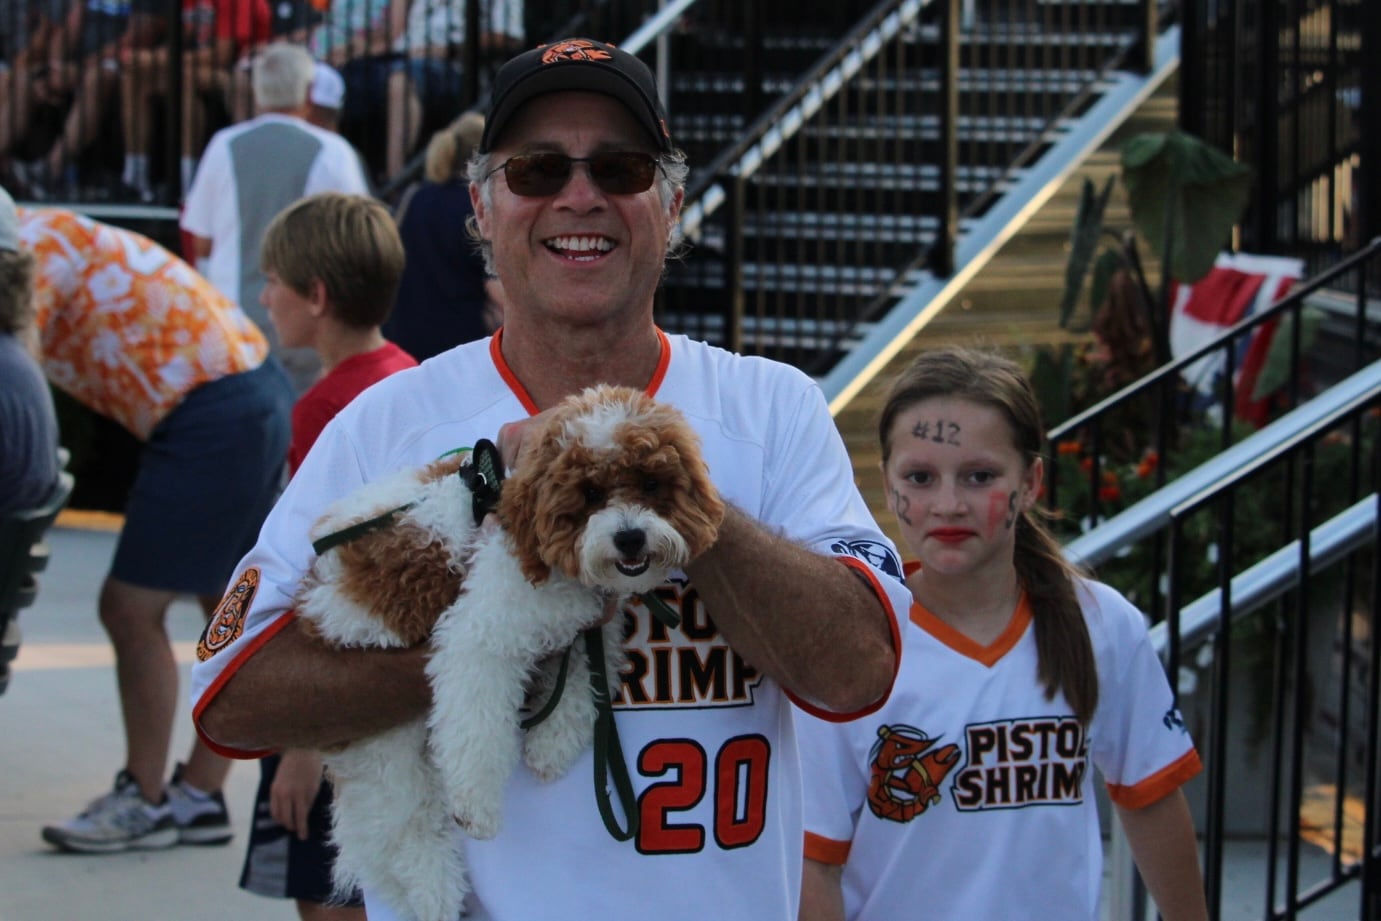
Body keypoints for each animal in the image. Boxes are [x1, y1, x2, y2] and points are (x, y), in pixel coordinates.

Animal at [291, 386, 723, 921]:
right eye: (590, 493)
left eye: (650, 482)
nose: (629, 537)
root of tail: (310, 607)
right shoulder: (476, 637)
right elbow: (476, 731)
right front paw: (475, 806)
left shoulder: (584, 627)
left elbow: (581, 677)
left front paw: (553, 742)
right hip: (377, 729)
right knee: (400, 822)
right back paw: (434, 892)